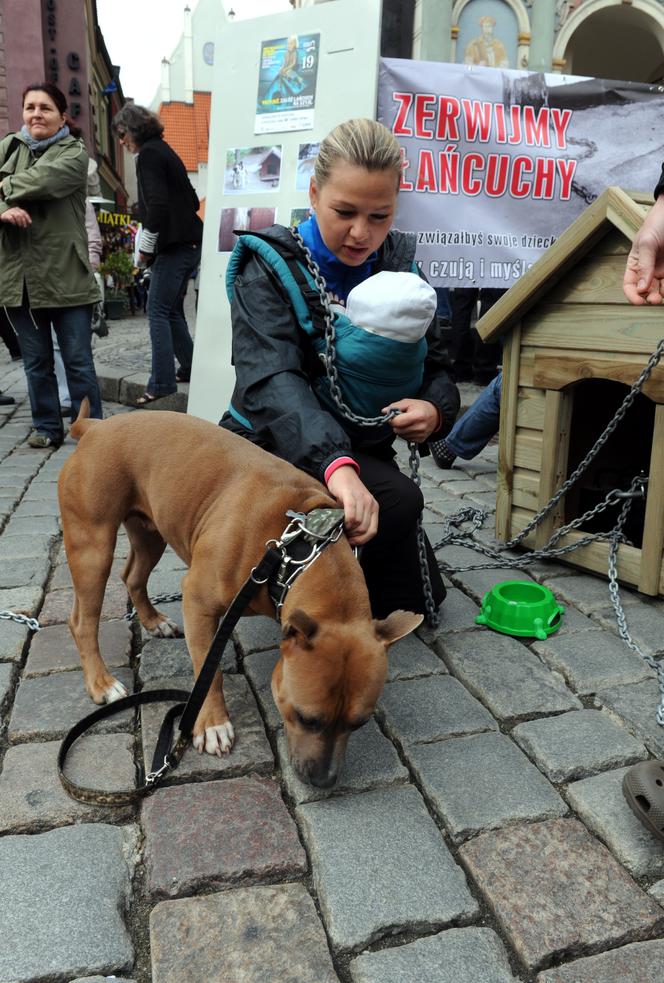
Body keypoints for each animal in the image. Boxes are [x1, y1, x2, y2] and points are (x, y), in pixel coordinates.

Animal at [57, 404, 420, 788]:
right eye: (306, 718)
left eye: (359, 723)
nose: (324, 781)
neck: (297, 553)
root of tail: (96, 427)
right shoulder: (198, 604)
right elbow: (208, 671)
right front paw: (213, 724)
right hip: (93, 546)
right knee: (82, 620)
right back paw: (102, 684)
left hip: (150, 531)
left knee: (133, 577)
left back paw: (154, 621)